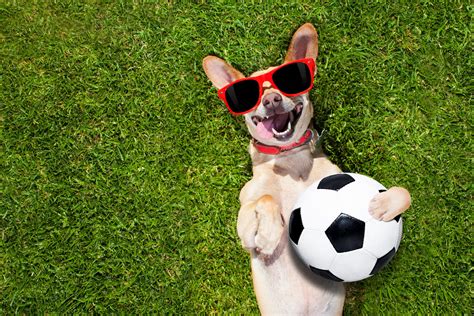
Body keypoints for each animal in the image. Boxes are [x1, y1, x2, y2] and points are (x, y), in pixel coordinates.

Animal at [203, 23, 412, 314]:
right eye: (252, 95)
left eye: (287, 83)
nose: (272, 100)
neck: (289, 158)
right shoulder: (245, 229)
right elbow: (265, 199)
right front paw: (270, 235)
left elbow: (404, 192)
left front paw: (382, 205)